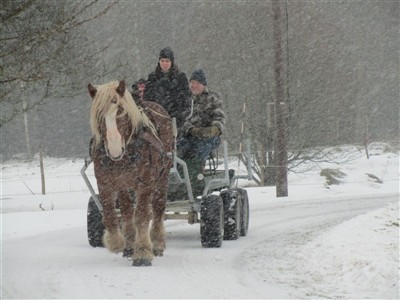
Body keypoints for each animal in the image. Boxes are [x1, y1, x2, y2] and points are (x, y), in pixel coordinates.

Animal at [87, 80, 173, 268]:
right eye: (99, 114)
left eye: (120, 111)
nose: (114, 148)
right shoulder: (105, 183)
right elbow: (110, 215)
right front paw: (116, 242)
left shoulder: (146, 183)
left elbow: (141, 216)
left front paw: (142, 253)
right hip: (124, 185)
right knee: (126, 210)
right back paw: (129, 246)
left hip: (162, 177)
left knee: (158, 208)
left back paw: (157, 243)